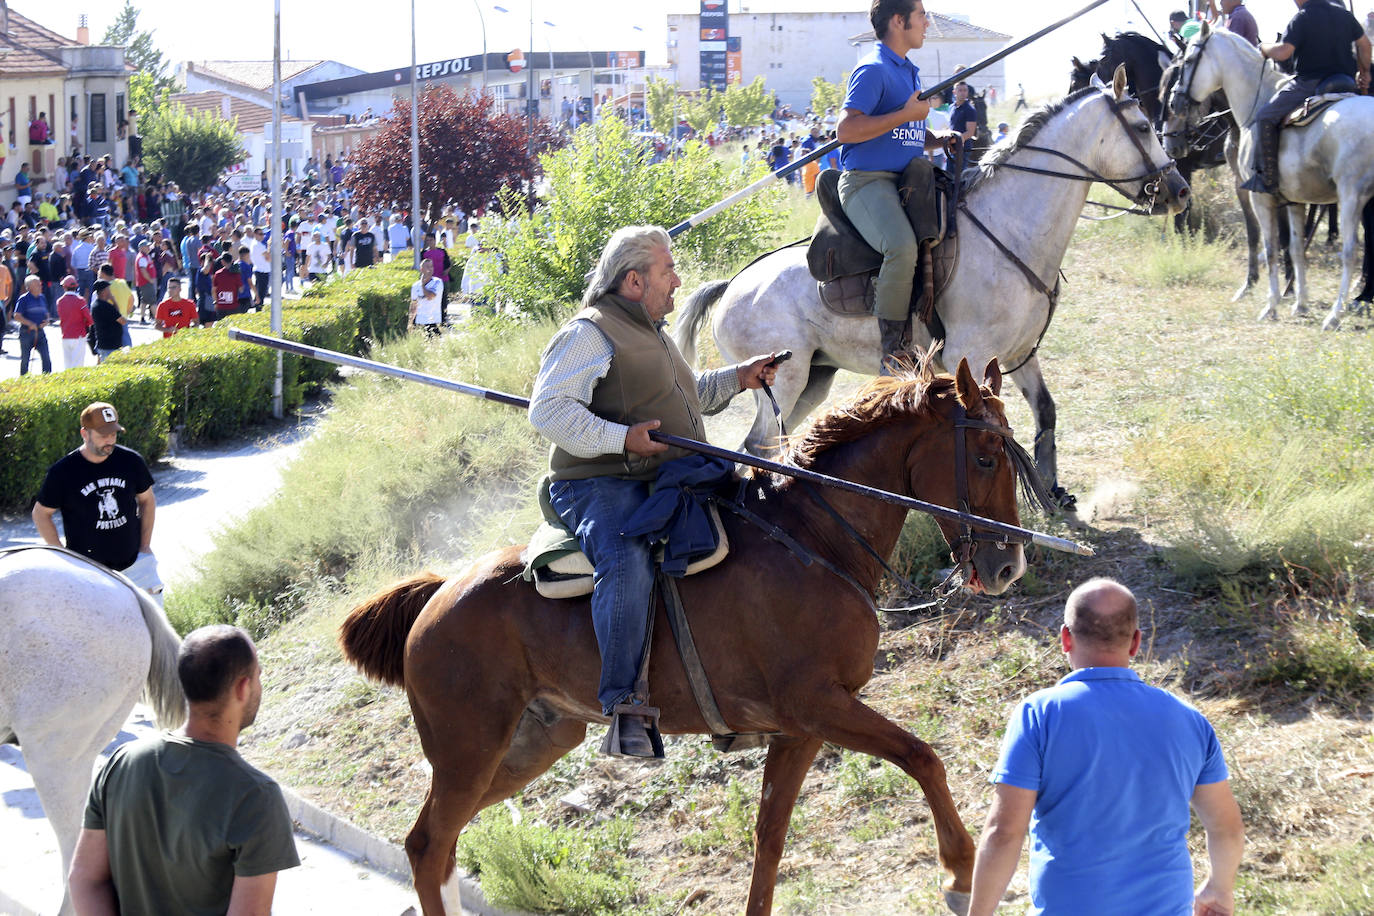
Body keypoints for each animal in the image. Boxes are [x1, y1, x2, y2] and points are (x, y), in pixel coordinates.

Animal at [340, 354, 1033, 911]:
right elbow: (922, 757)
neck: (810, 538)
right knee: (430, 845)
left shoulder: (801, 729)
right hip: (469, 752)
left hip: (528, 746)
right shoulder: (819, 705)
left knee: (438, 844)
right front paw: (961, 874)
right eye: (984, 456)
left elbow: (770, 837)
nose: (1007, 565)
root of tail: (438, 595)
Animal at [670, 67, 1187, 505]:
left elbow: (1046, 414)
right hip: (785, 378)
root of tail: (732, 286)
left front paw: (1054, 493)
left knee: (773, 445)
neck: (1009, 227)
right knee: (757, 444)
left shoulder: (1021, 353)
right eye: (1144, 126)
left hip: (814, 378)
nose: (1179, 191)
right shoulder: (972, 354)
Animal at [1165, 24, 1374, 329]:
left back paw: (1335, 315)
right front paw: (1300, 303)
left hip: (1351, 197)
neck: (1258, 98)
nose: (1174, 101)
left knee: (1350, 252)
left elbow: (1271, 245)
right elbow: (1296, 248)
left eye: (1189, 61)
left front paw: (1271, 305)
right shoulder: (1295, 201)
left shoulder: (1260, 197)